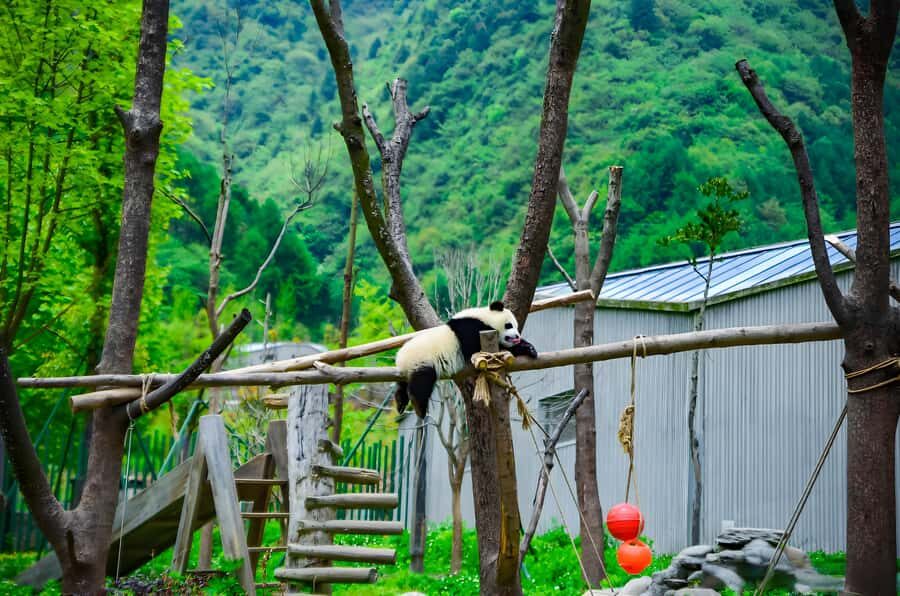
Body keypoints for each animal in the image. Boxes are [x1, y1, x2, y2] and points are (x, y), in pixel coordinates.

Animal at [395, 301, 539, 418]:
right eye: (509, 325)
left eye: (516, 326)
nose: (517, 336)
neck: (483, 317)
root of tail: (400, 359)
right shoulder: (470, 328)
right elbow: (474, 347)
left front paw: (529, 349)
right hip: (422, 360)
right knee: (422, 381)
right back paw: (419, 407)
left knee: (404, 384)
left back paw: (401, 401)